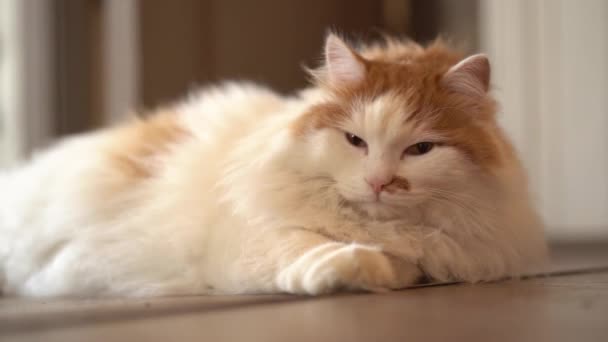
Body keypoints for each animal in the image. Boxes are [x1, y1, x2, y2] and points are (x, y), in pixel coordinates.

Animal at [0, 33, 548, 298]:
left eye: (421, 150)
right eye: (354, 141)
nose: (379, 183)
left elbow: (410, 262)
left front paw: (385, 265)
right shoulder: (247, 240)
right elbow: (306, 246)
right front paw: (351, 265)